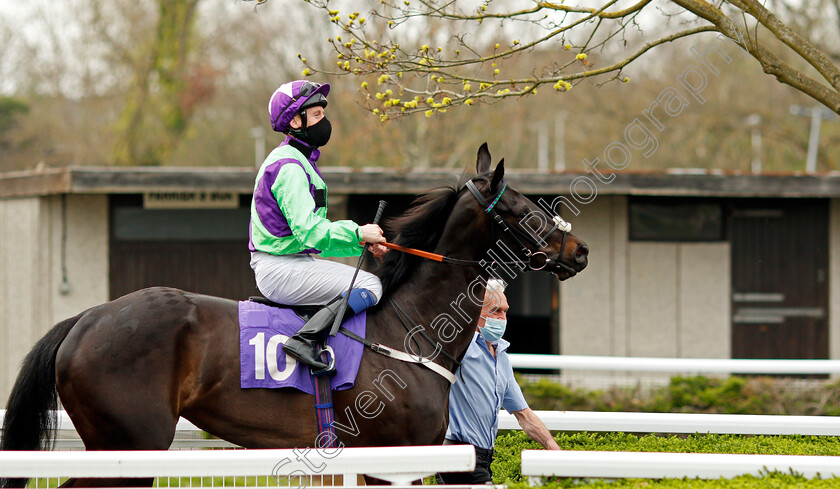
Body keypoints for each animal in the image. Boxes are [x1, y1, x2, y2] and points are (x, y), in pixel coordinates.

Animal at [1, 143, 592, 486]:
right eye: (528, 211)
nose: (581, 250)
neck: (409, 331)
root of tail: (84, 319)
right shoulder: (392, 459)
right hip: (131, 444)